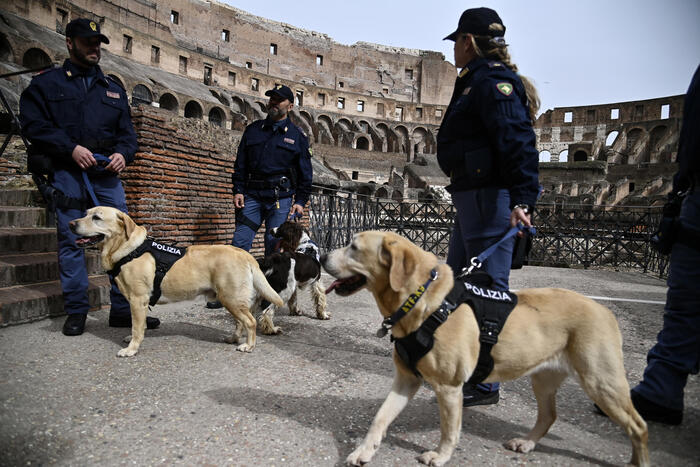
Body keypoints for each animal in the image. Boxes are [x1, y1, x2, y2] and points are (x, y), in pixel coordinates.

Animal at [69, 207, 282, 356]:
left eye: (97, 217)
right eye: (86, 213)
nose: (71, 224)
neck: (126, 248)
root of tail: (244, 253)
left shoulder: (138, 299)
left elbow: (137, 327)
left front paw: (132, 349)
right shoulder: (137, 303)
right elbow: (138, 325)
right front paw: (132, 340)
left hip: (231, 297)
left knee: (250, 321)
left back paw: (249, 345)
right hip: (230, 299)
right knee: (240, 322)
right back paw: (233, 338)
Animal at [322, 232, 652, 466]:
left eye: (353, 247)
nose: (322, 255)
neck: (423, 303)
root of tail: (605, 310)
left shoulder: (449, 387)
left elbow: (449, 429)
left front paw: (440, 455)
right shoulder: (406, 379)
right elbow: (380, 417)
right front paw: (364, 451)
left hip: (602, 382)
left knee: (638, 425)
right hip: (544, 379)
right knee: (549, 416)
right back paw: (527, 443)